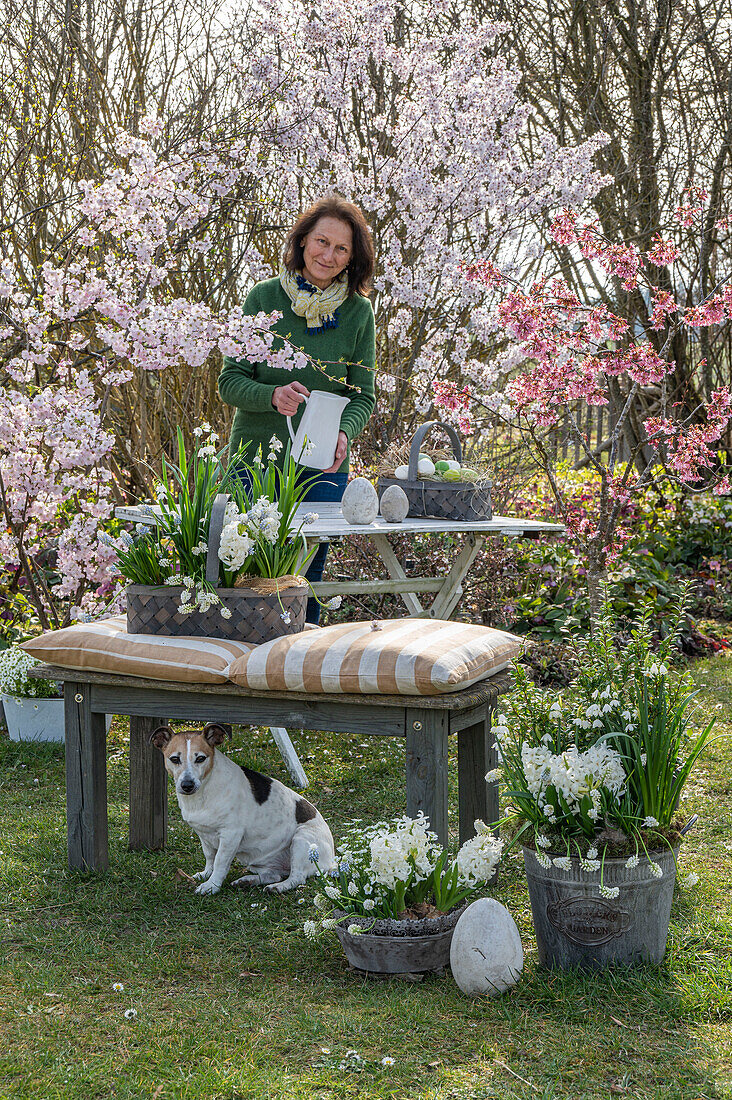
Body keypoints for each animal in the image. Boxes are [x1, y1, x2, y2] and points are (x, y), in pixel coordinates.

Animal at [155, 721, 339, 893]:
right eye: (174, 759)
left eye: (200, 758)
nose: (187, 785)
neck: (204, 792)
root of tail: (331, 861)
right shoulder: (204, 834)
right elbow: (210, 857)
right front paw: (206, 874)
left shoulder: (230, 835)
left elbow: (220, 861)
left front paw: (212, 885)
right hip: (262, 863)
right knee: (272, 875)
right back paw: (248, 881)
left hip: (301, 840)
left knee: (297, 877)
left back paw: (278, 887)